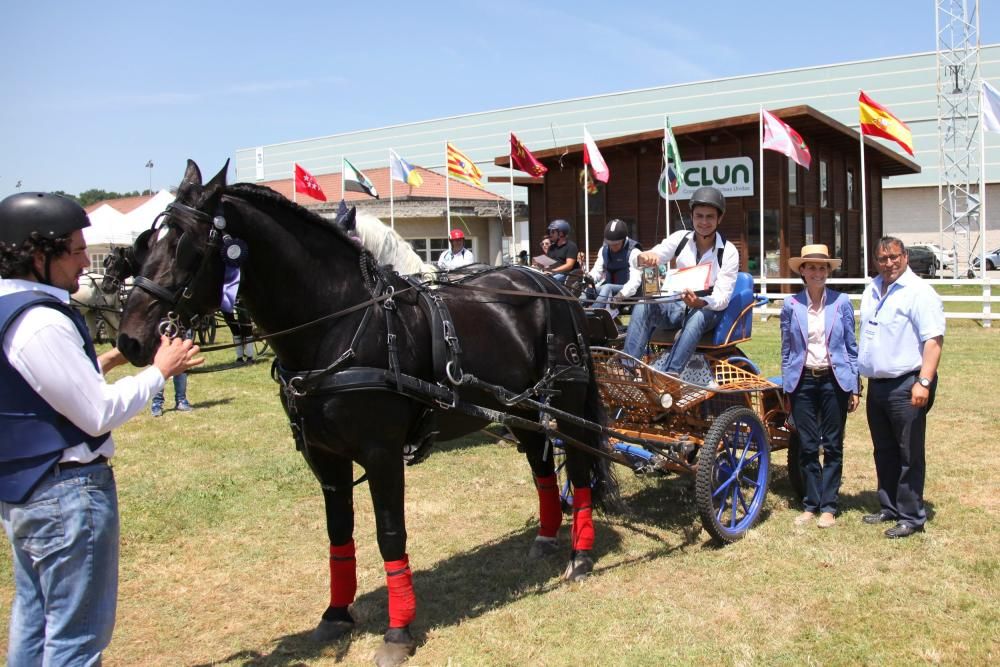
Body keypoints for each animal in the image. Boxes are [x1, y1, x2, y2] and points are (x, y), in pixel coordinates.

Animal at [117, 163, 616, 667]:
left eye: (188, 246)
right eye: (146, 243)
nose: (130, 339)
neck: (341, 324)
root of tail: (552, 286)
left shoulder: (382, 454)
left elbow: (390, 534)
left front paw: (398, 631)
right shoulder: (325, 458)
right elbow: (339, 535)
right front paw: (336, 615)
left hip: (566, 404)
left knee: (578, 468)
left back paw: (580, 555)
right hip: (518, 408)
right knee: (541, 467)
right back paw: (547, 537)